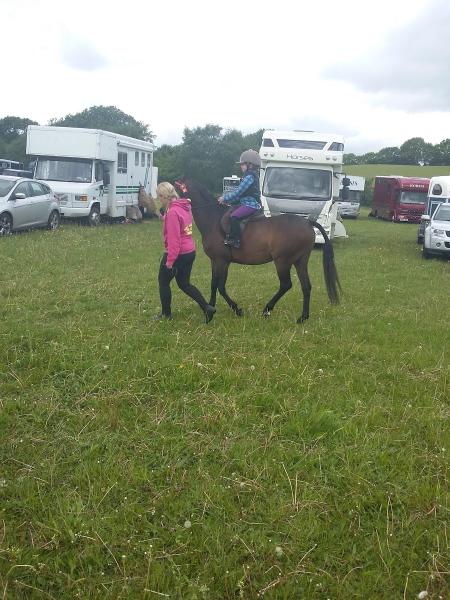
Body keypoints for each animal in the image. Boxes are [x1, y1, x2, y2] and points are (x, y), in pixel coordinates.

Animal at [174, 179, 340, 324]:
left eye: (176, 189)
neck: (213, 220)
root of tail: (307, 222)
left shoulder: (222, 261)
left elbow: (220, 286)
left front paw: (236, 309)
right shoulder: (215, 260)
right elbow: (214, 283)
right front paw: (210, 309)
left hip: (282, 261)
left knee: (286, 284)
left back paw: (267, 309)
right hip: (300, 261)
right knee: (306, 286)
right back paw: (303, 317)